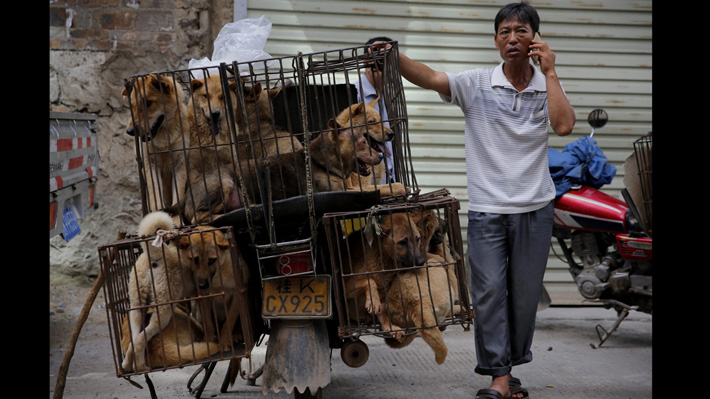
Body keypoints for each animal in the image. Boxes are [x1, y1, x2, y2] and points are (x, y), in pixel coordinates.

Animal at [123, 73, 188, 208]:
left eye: (148, 103)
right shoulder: (150, 164)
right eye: (132, 106)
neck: (163, 140)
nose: (129, 131)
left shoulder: (180, 163)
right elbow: (156, 198)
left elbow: (178, 198)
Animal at [342, 209, 426, 340]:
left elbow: (384, 313)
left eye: (417, 239)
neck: (383, 257)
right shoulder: (345, 286)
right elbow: (369, 280)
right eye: (402, 242)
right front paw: (373, 301)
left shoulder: (383, 294)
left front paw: (390, 327)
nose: (421, 262)